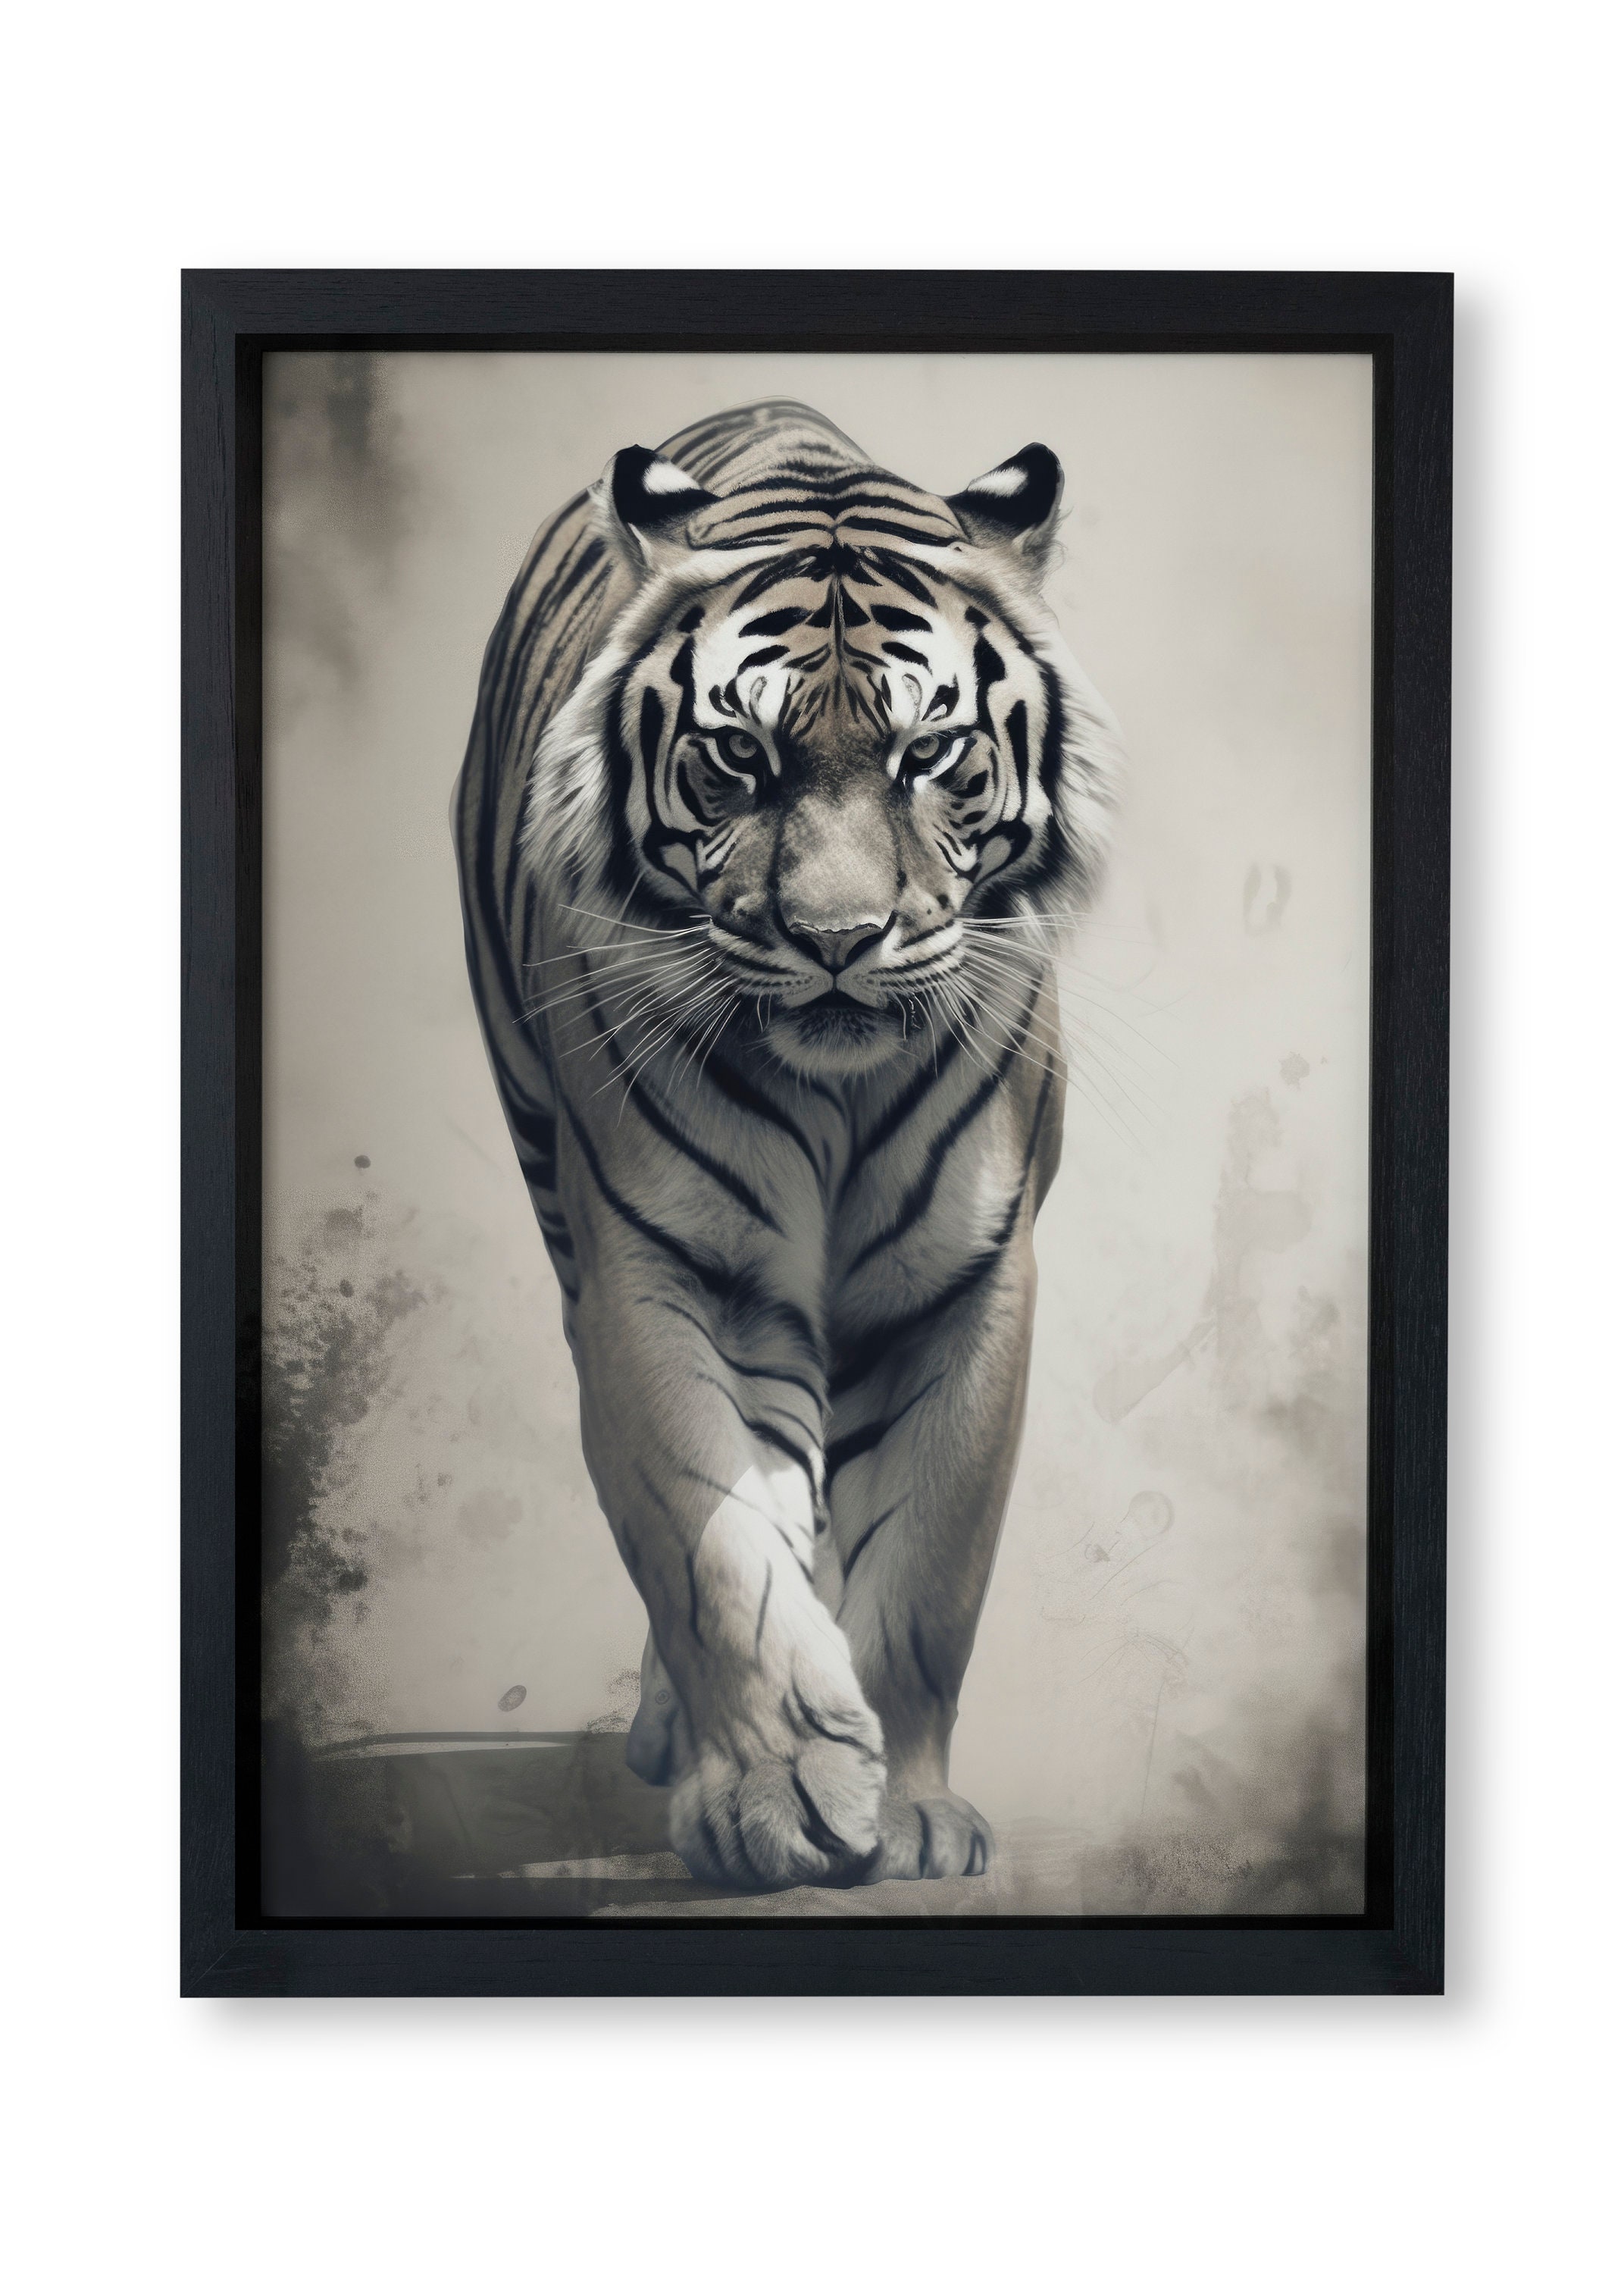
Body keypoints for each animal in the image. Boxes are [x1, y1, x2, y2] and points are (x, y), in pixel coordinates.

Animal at [454, 398, 1120, 1892]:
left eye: (925, 756)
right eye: (738, 759)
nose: (834, 940)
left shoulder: (961, 1283)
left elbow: (925, 1570)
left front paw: (912, 1817)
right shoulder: (665, 1275)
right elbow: (712, 1546)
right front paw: (781, 1800)